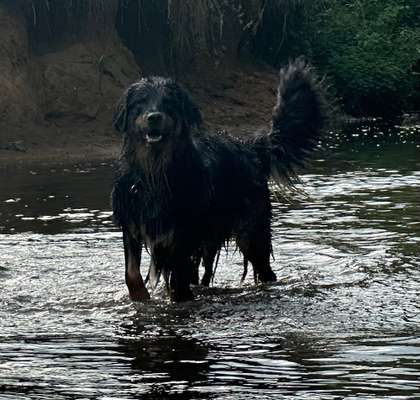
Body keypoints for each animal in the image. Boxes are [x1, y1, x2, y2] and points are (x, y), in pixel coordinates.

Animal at [110, 59, 324, 302]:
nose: (154, 116)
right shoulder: (132, 224)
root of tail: (249, 146)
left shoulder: (183, 231)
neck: (154, 172)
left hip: (250, 230)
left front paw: (179, 296)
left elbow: (178, 275)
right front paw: (141, 297)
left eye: (168, 102)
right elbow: (131, 273)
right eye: (141, 102)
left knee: (264, 268)